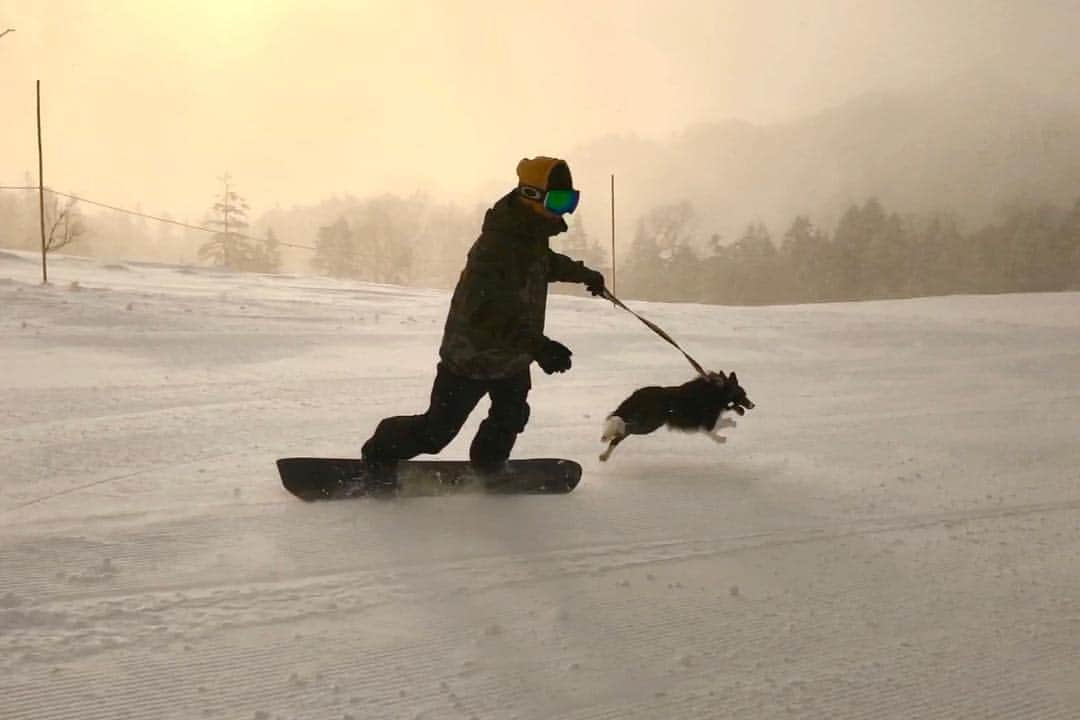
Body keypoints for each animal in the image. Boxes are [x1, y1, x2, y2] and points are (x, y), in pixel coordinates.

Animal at [600, 371, 751, 462]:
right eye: (743, 394)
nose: (753, 405)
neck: (715, 393)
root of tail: (637, 395)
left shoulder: (704, 422)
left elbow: (719, 424)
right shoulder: (705, 422)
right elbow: (717, 427)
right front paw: (722, 437)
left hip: (646, 422)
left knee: (621, 431)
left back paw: (604, 453)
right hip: (649, 424)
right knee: (622, 432)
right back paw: (607, 446)